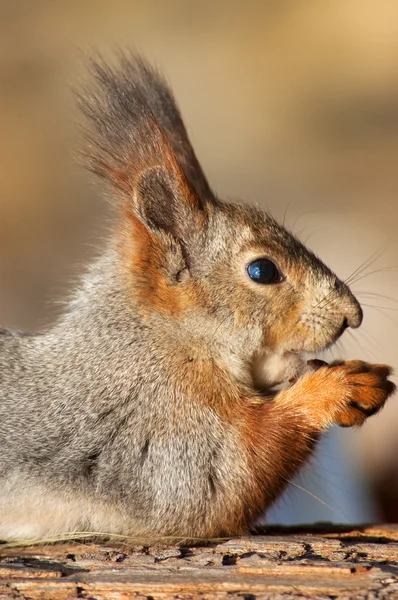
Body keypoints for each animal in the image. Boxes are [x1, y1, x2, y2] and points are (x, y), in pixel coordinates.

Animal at [0, 56, 394, 540]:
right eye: (262, 270)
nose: (352, 316)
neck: (162, 338)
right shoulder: (155, 424)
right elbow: (223, 481)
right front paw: (336, 388)